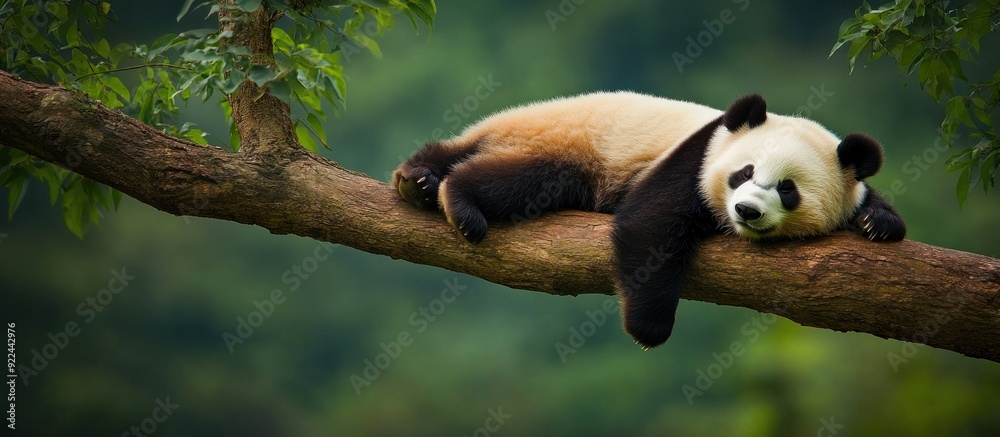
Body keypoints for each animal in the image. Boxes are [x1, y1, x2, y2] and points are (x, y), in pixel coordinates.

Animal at [393, 91, 906, 349]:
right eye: (744, 173)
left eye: (787, 188)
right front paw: (649, 328)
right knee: (526, 179)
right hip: (566, 141)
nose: (746, 211)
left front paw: (877, 224)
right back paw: (457, 200)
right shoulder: (695, 160)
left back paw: (417, 180)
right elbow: (650, 223)